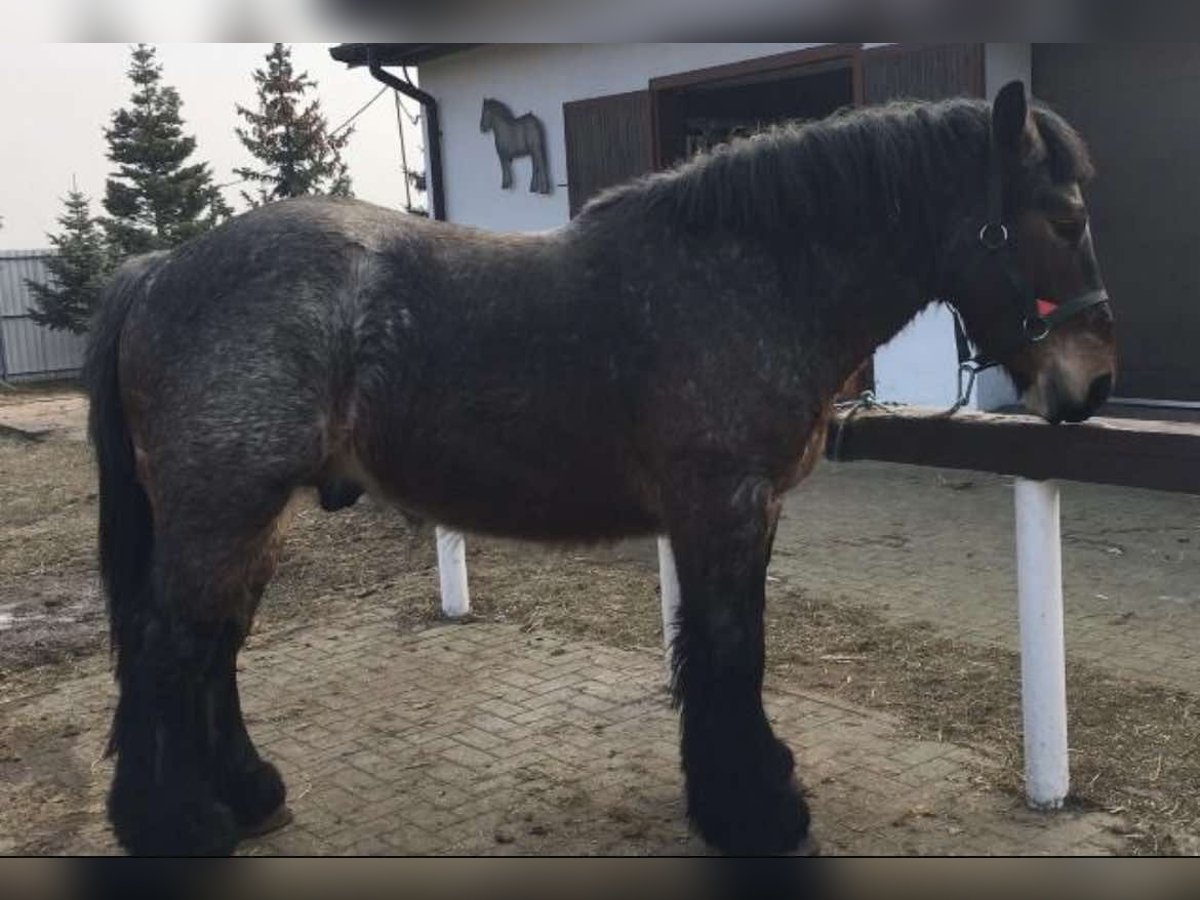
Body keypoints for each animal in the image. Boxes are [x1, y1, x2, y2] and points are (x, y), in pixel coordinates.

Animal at [84, 82, 1113, 859]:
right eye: (1064, 220)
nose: (1095, 383)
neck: (751, 275)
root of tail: (161, 269)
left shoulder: (747, 514)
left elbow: (718, 649)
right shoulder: (722, 506)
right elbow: (731, 649)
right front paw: (756, 814)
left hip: (253, 516)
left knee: (212, 645)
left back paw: (249, 794)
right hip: (222, 509)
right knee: (167, 646)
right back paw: (172, 823)